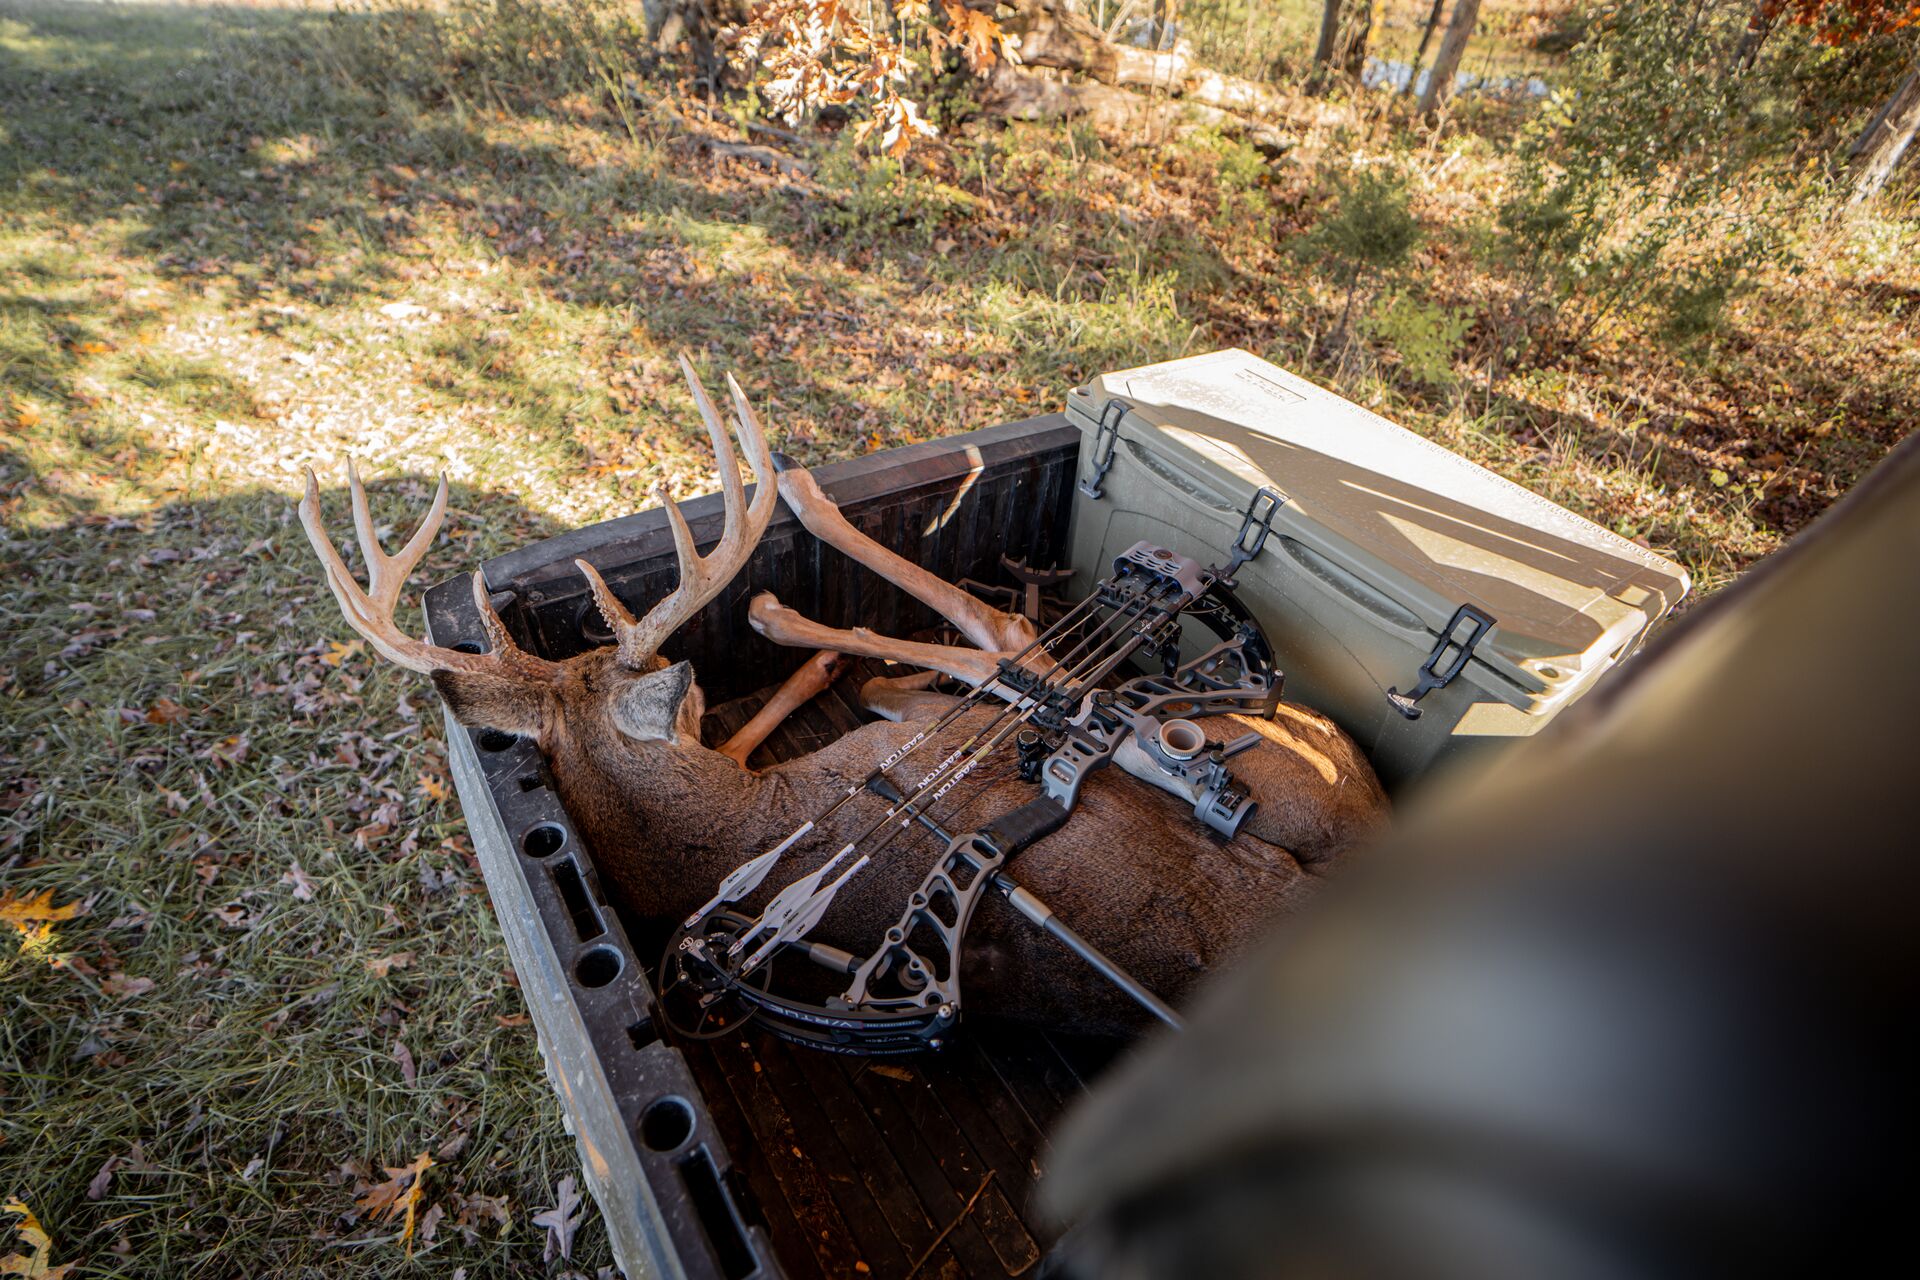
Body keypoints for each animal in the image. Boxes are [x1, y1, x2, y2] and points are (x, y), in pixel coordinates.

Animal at [298, 357, 1389, 1032]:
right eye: (681, 703)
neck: (734, 834)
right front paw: (816, 644)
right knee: (1005, 642)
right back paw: (803, 542)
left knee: (1003, 649)